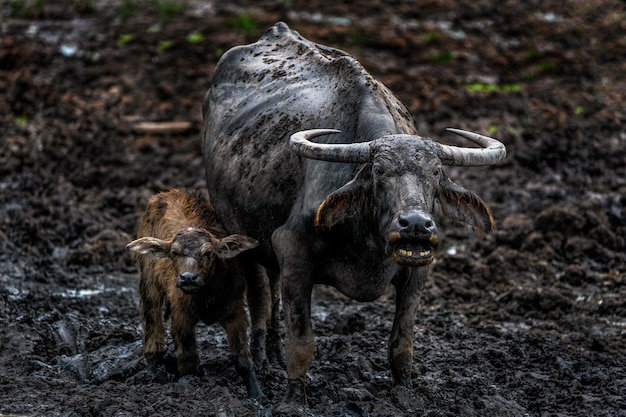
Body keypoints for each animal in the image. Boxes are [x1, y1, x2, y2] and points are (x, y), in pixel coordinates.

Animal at [127, 188, 260, 396]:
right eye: (174, 252)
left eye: (208, 253)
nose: (188, 278)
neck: (207, 295)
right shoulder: (182, 315)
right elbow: (188, 357)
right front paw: (189, 383)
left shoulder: (235, 312)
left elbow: (242, 358)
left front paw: (256, 394)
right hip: (149, 282)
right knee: (152, 321)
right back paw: (151, 369)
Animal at [202, 22, 504, 400]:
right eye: (378, 172)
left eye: (435, 173)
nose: (415, 225)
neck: (368, 242)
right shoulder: (293, 253)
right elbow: (302, 341)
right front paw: (293, 397)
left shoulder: (418, 272)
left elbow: (402, 343)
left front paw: (404, 394)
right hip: (238, 232)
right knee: (258, 294)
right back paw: (260, 359)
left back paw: (272, 354)